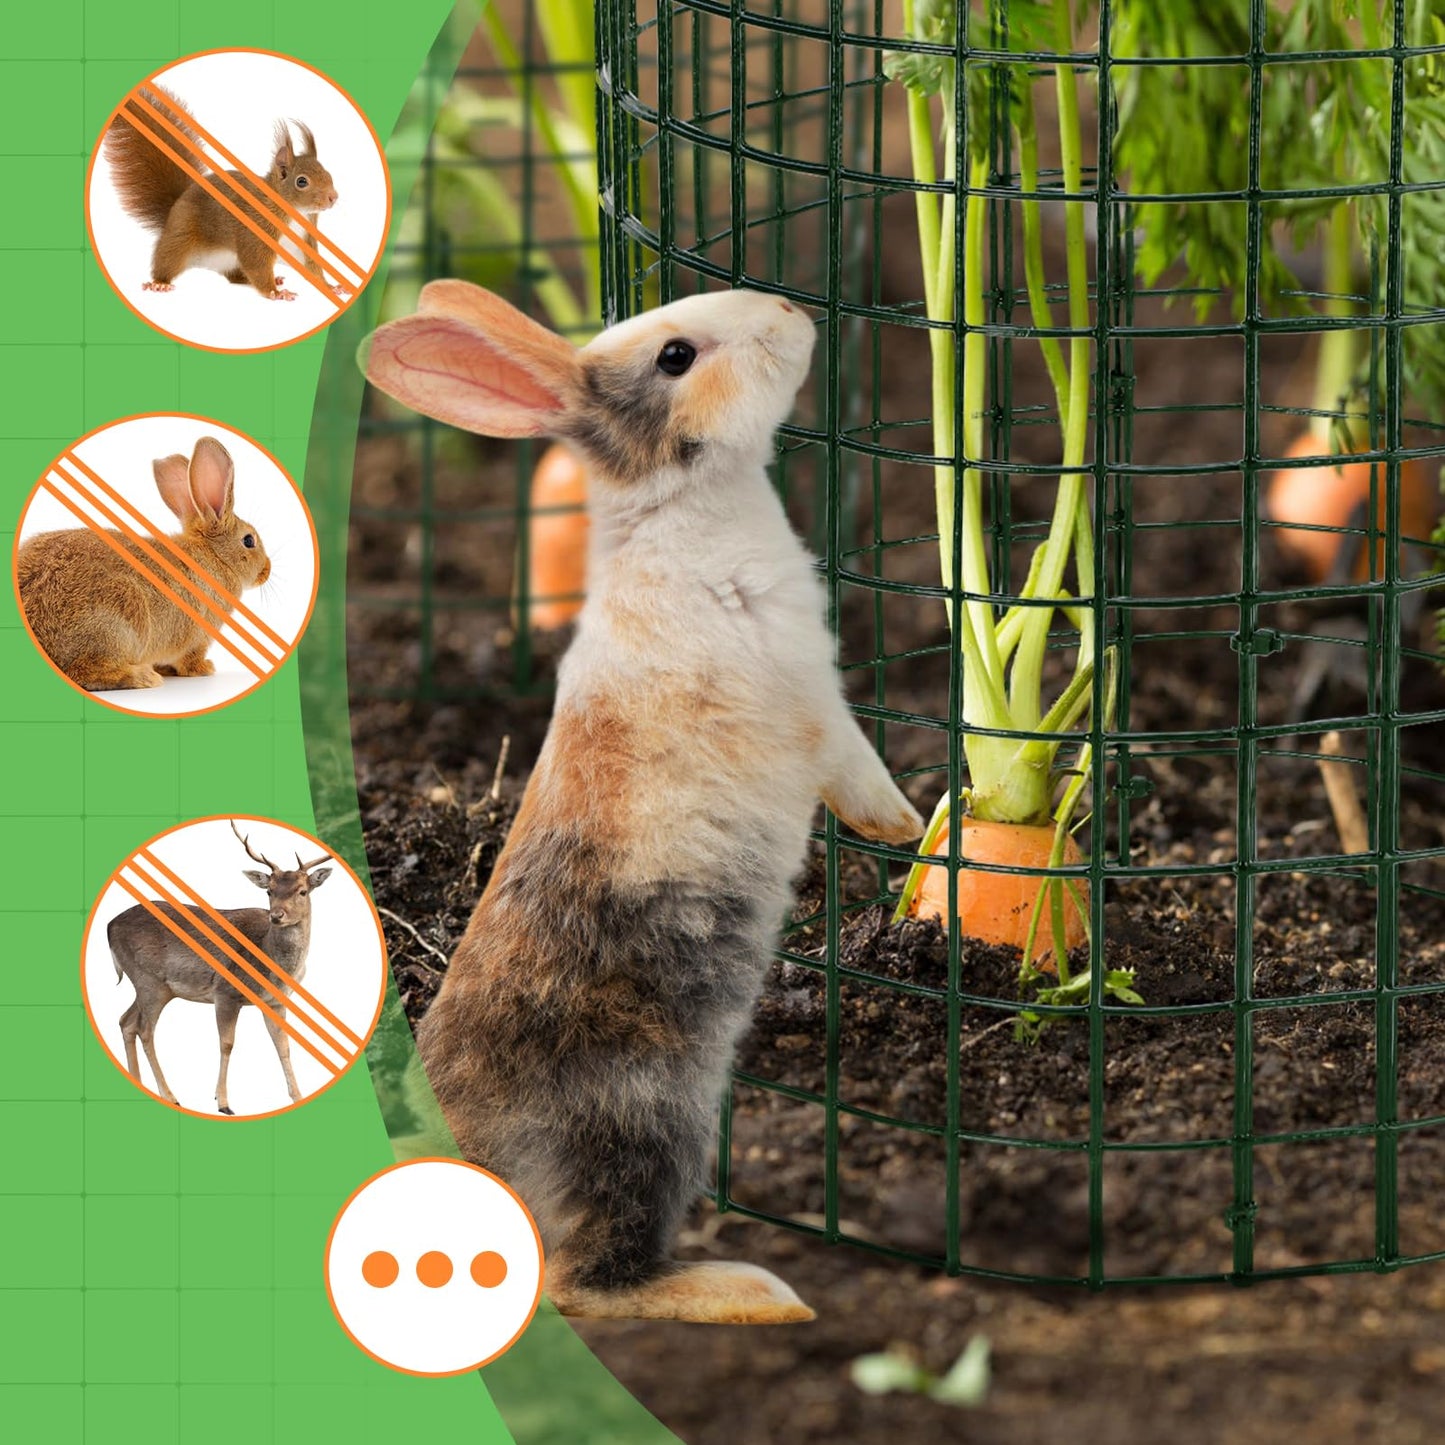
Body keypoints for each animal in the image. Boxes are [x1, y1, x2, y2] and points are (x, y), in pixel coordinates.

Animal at [17, 435, 272, 691]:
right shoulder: (198, 637)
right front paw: (204, 669)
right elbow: (190, 659)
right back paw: (144, 677)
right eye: (249, 540)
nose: (267, 570)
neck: (214, 556)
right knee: (83, 671)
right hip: (121, 618)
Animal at [102, 85, 341, 302]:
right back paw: (160, 283)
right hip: (180, 239)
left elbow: (311, 266)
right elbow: (256, 262)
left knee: (236, 276)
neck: (295, 214)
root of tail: (173, 209)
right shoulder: (255, 230)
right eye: (302, 181)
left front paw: (330, 287)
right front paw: (275, 292)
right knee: (167, 260)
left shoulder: (303, 241)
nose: (333, 197)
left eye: (328, 173)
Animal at [364, 280, 924, 1324]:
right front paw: (903, 824)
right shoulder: (811, 703)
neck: (679, 507)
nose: (792, 313)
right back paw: (753, 1292)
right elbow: (855, 764)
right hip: (645, 1132)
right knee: (585, 1281)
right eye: (675, 357)